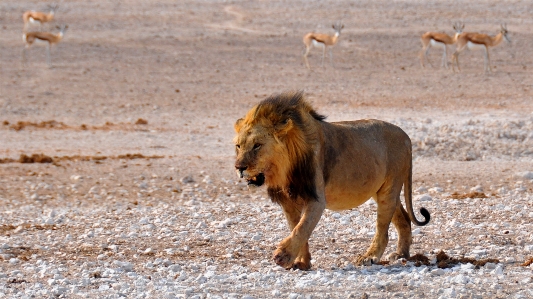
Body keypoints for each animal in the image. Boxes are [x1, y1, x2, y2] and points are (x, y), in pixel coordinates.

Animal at [233, 91, 428, 270]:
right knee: (404, 218)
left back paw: (369, 257)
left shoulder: (316, 198)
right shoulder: (287, 201)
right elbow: (297, 228)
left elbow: (302, 228)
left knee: (383, 229)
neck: (283, 170)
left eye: (257, 145)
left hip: (389, 188)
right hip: (381, 190)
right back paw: (401, 254)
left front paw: (283, 256)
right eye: (238, 146)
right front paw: (301, 262)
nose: (239, 167)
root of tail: (406, 136)